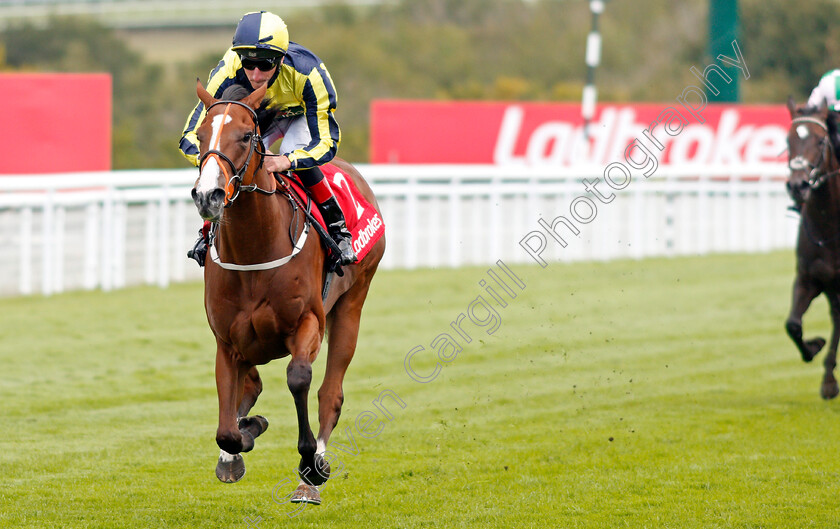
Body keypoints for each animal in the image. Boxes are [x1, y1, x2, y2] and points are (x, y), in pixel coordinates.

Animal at [189, 79, 386, 504]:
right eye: (200, 136)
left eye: (246, 136)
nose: (208, 195)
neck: (254, 249)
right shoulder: (227, 341)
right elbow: (227, 427)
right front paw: (242, 440)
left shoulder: (308, 322)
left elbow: (298, 379)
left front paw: (310, 463)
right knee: (252, 385)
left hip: (352, 303)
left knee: (330, 392)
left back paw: (310, 478)